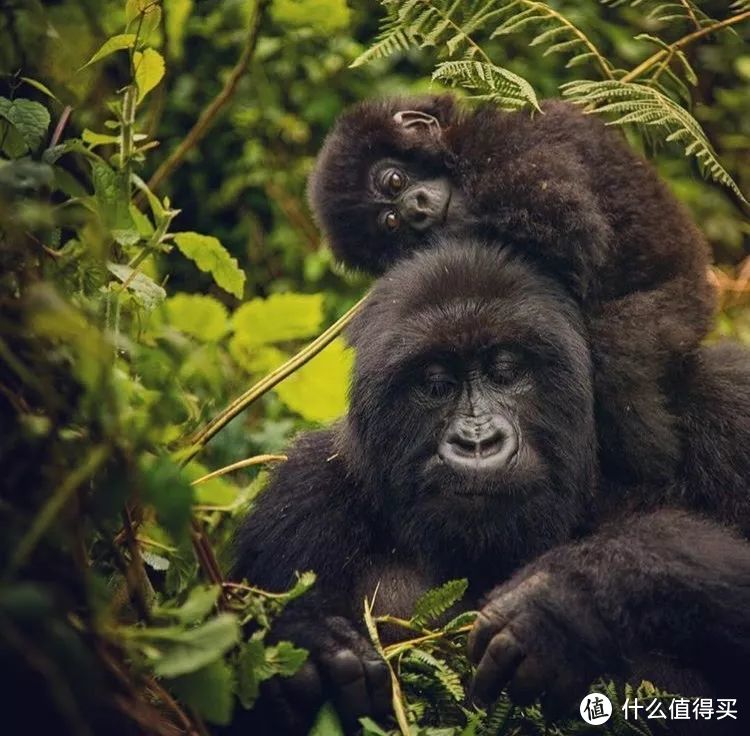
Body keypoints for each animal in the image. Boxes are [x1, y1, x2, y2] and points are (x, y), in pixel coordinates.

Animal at [232, 243, 750, 736]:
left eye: (505, 372)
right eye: (435, 385)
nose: (477, 442)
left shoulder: (722, 408)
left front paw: (563, 599)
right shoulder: (300, 495)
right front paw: (307, 647)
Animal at [306, 93, 716, 484]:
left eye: (395, 181)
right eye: (391, 223)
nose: (415, 211)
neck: (456, 148)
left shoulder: (503, 145)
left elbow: (563, 223)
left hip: (676, 309)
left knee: (621, 362)